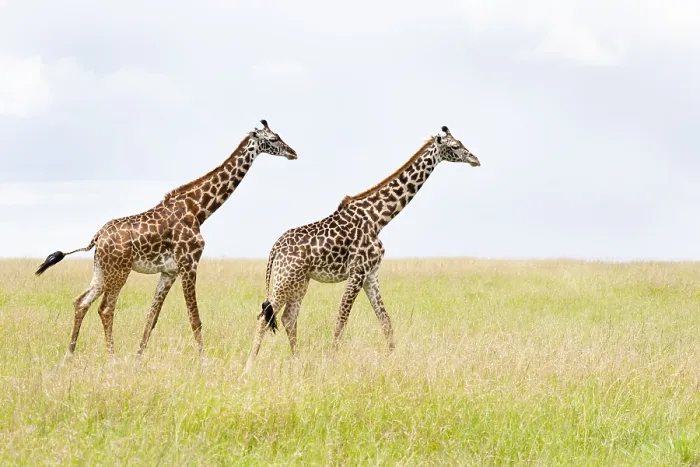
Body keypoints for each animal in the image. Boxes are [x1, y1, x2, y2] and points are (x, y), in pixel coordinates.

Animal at [35, 119, 298, 360]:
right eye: (273, 139)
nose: (293, 153)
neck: (198, 210)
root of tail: (97, 237)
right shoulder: (189, 263)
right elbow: (194, 318)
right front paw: (204, 362)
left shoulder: (169, 271)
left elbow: (152, 316)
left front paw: (138, 360)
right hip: (119, 271)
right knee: (106, 309)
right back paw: (112, 359)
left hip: (102, 270)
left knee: (81, 302)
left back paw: (68, 356)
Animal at [243, 125, 480, 372]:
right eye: (455, 146)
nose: (475, 159)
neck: (379, 218)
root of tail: (274, 249)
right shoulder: (357, 272)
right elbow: (340, 321)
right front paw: (332, 362)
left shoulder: (371, 275)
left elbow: (385, 321)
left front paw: (394, 360)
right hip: (285, 279)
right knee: (264, 316)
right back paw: (248, 368)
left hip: (300, 282)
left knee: (288, 318)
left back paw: (296, 362)